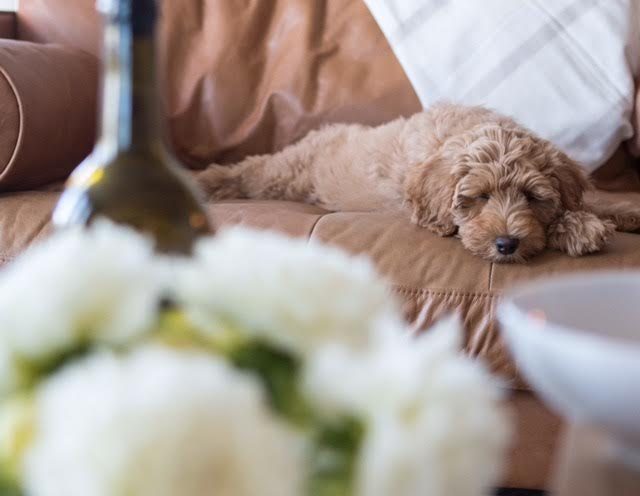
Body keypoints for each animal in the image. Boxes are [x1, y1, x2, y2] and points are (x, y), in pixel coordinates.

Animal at [197, 103, 639, 263]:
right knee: (251, 170)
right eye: (479, 198)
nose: (506, 244)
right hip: (286, 173)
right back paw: (206, 181)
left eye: (531, 197)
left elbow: (587, 202)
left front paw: (594, 219)